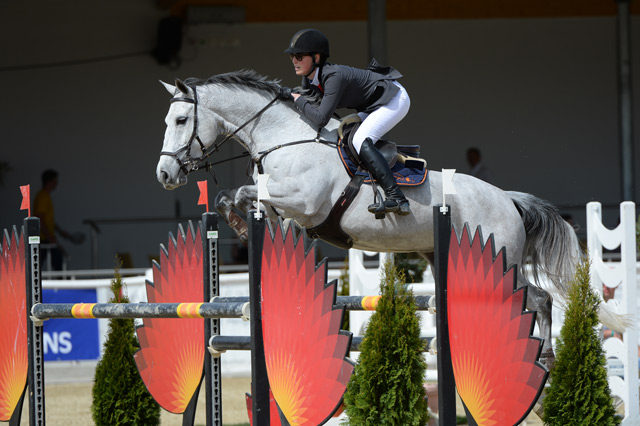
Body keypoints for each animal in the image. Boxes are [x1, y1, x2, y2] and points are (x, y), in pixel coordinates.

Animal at [158, 69, 624, 366]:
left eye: (181, 119)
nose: (165, 175)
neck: (283, 138)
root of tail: (508, 200)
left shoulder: (304, 201)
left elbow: (239, 192)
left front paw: (241, 223)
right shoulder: (287, 204)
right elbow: (236, 197)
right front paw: (248, 226)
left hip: (501, 258)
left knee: (539, 298)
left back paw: (546, 355)